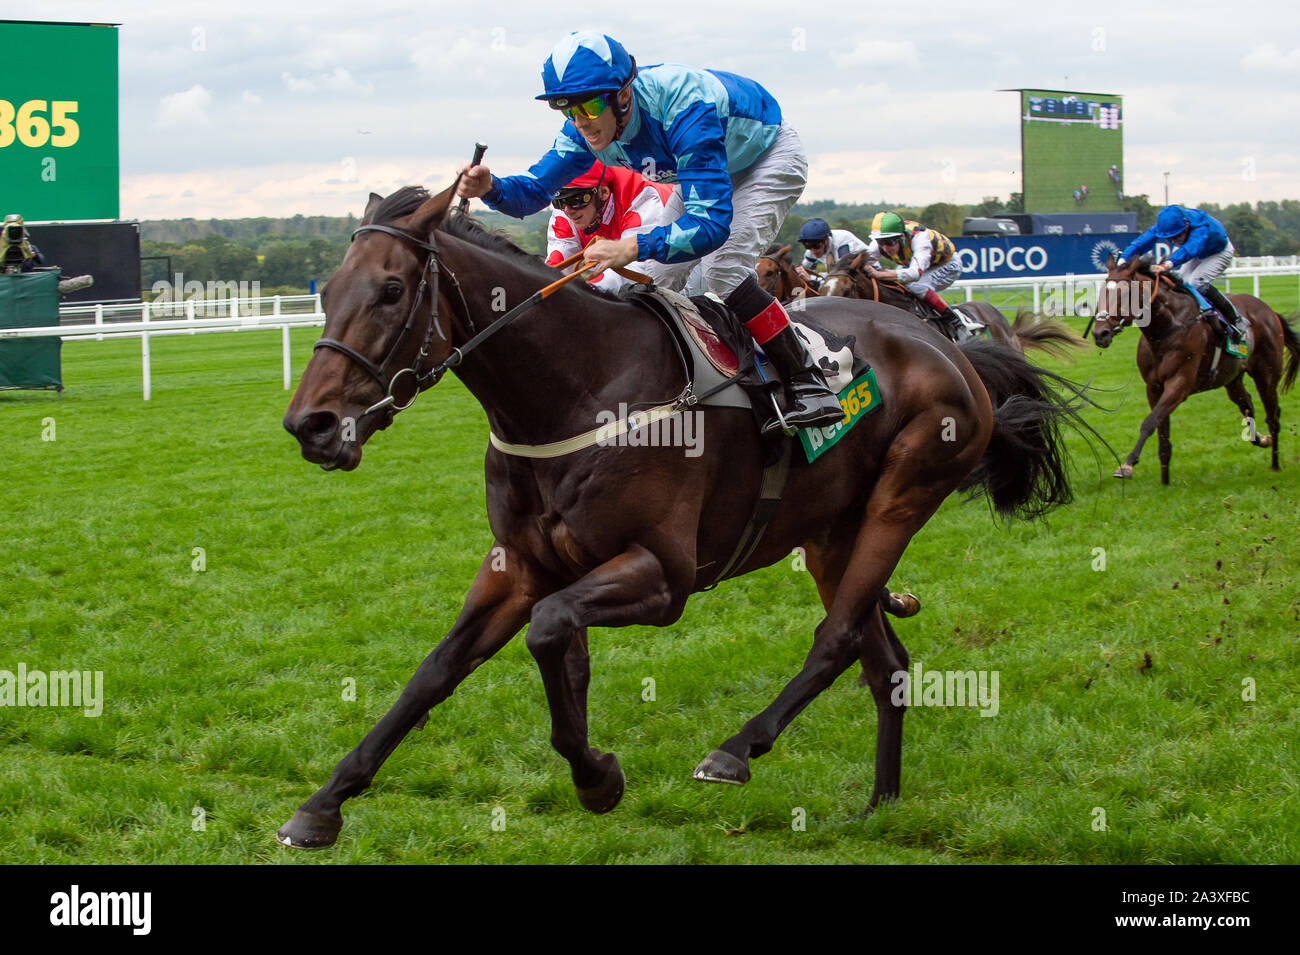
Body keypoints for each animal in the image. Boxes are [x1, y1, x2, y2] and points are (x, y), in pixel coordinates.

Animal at [1092, 252, 1294, 480]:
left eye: (1127, 294)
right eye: (1102, 291)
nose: (1100, 333)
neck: (1166, 329)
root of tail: (1270, 311)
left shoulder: (1179, 384)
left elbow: (1150, 422)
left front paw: (1127, 465)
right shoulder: (1153, 387)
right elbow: (1162, 432)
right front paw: (1164, 480)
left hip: (1266, 376)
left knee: (1273, 416)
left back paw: (1275, 464)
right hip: (1232, 378)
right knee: (1248, 405)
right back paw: (1261, 439)